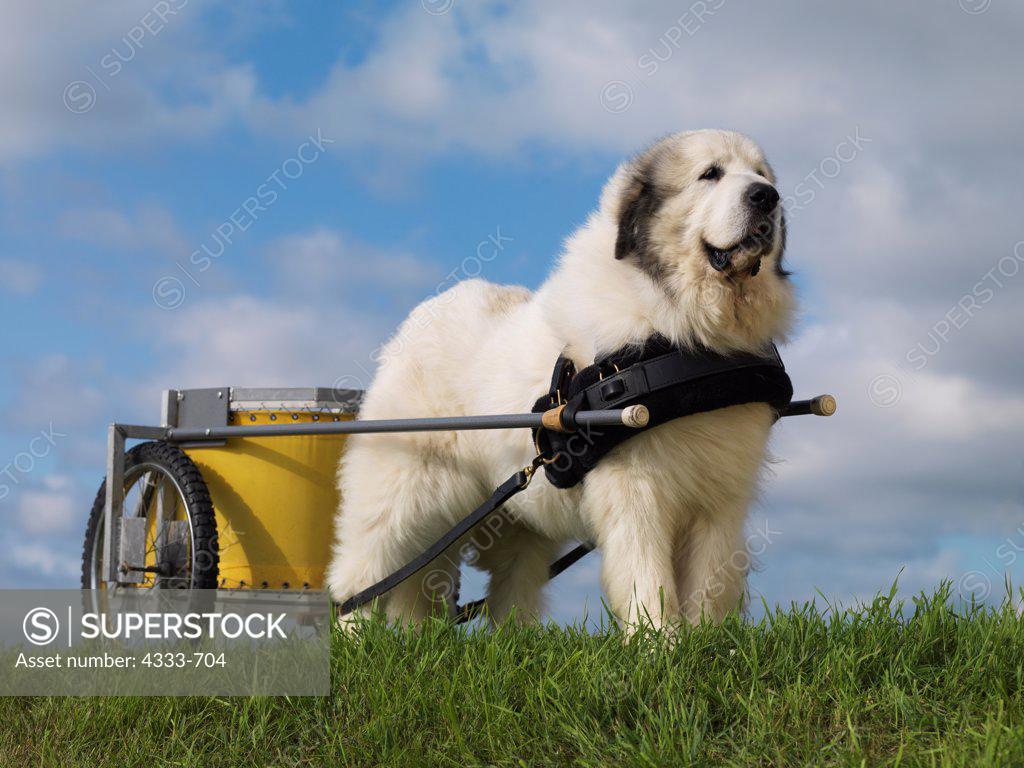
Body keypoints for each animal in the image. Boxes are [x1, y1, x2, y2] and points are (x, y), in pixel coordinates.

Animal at [331, 128, 794, 630]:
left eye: (761, 175)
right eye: (710, 174)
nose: (766, 197)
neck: (684, 330)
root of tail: (420, 318)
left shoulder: (720, 501)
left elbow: (709, 586)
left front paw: (704, 640)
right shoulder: (637, 492)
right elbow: (648, 578)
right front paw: (659, 642)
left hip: (513, 518)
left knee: (500, 585)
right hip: (403, 496)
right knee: (364, 576)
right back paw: (356, 637)